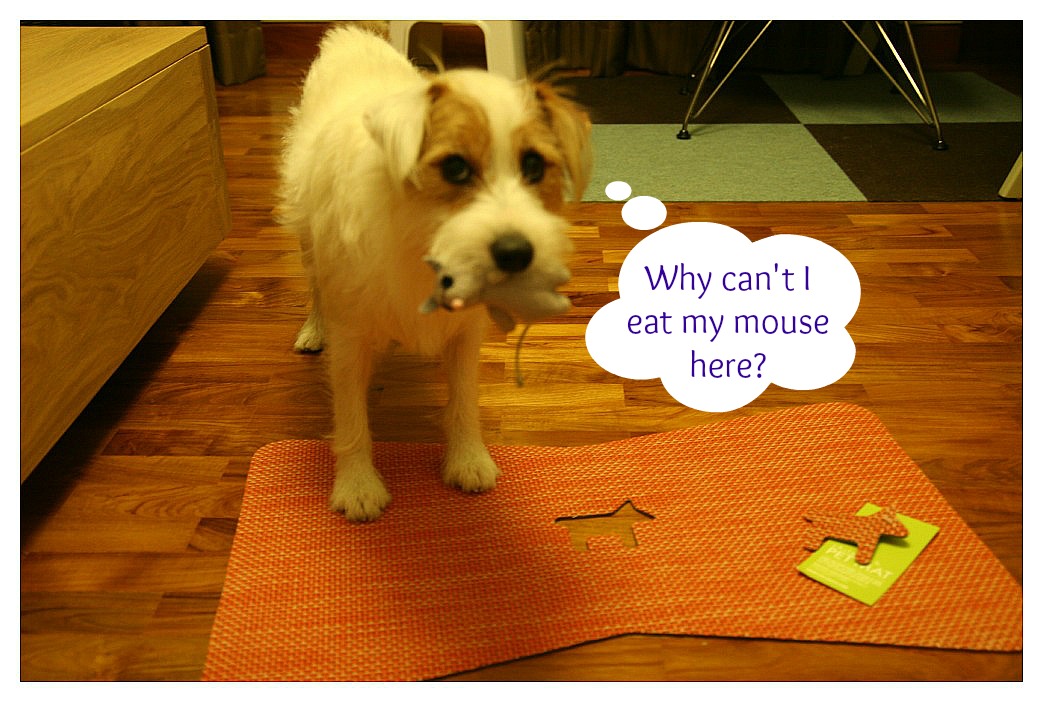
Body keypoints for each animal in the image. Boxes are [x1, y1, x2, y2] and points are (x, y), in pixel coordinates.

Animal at [278, 25, 591, 521]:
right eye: (455, 168)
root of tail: (351, 34)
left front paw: (468, 458)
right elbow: (351, 414)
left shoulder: (464, 335)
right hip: (307, 237)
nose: (516, 254)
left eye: (534, 166)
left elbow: (463, 399)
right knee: (313, 285)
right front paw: (358, 485)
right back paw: (312, 328)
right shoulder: (350, 339)